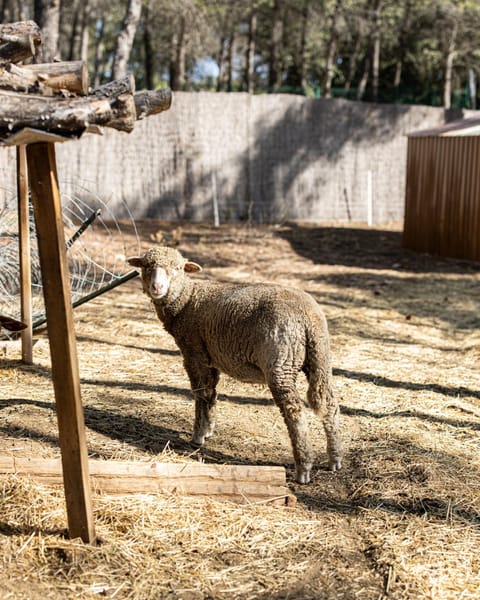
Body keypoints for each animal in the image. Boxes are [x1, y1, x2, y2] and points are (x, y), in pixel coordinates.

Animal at [127, 246, 344, 486]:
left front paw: (198, 437)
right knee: (328, 403)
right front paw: (209, 429)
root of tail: (308, 317)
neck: (187, 300)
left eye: (177, 267)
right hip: (320, 358)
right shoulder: (211, 356)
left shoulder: (194, 352)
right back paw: (335, 459)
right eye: (147, 266)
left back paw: (303, 468)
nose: (157, 287)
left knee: (294, 411)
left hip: (281, 363)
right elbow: (212, 394)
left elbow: (201, 394)